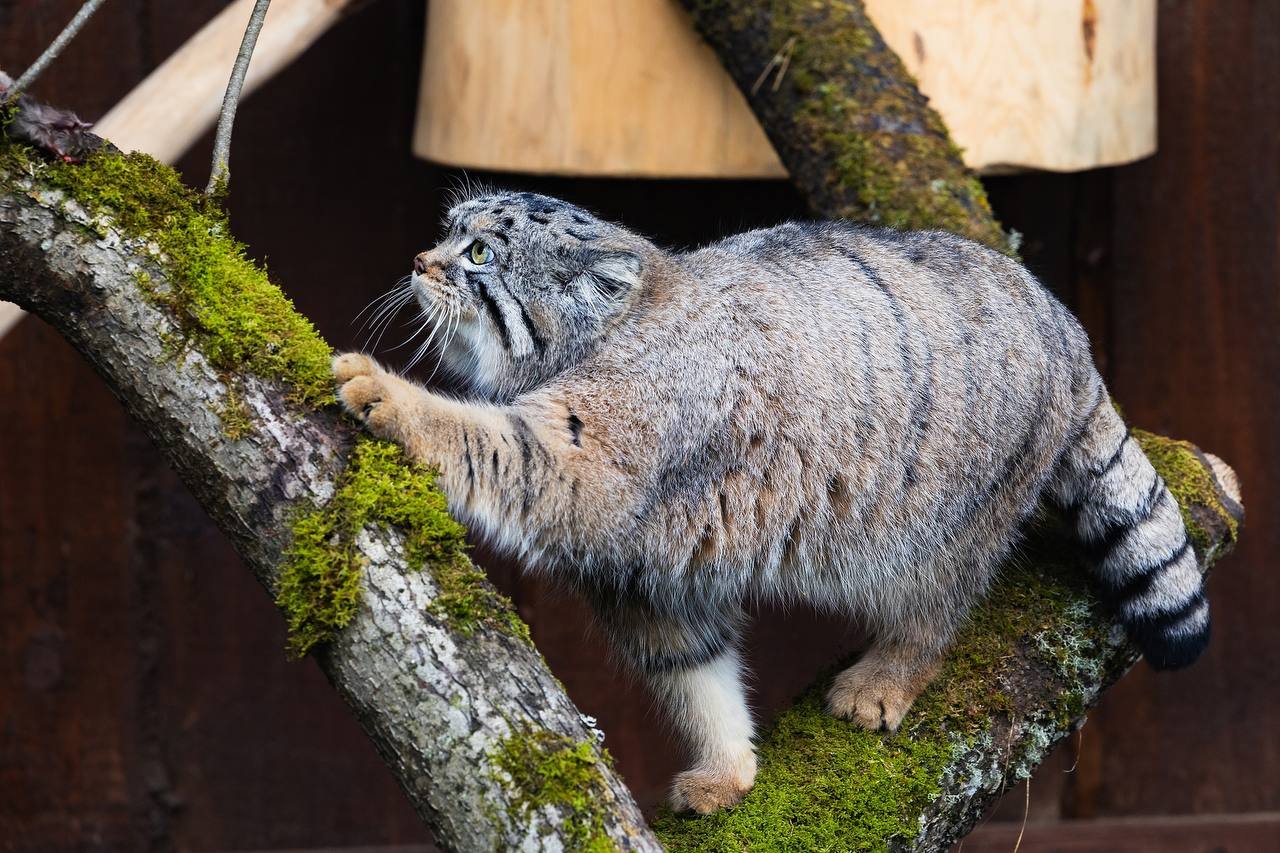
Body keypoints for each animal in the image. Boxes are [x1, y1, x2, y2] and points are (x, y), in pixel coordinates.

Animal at [333, 189, 1208, 814]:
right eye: (448, 234)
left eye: (479, 252)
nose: (418, 261)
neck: (606, 335)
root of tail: (1067, 323)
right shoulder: (645, 574)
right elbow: (693, 669)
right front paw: (728, 768)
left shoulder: (589, 463)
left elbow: (484, 437)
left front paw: (388, 393)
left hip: (945, 522)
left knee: (938, 607)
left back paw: (885, 677)